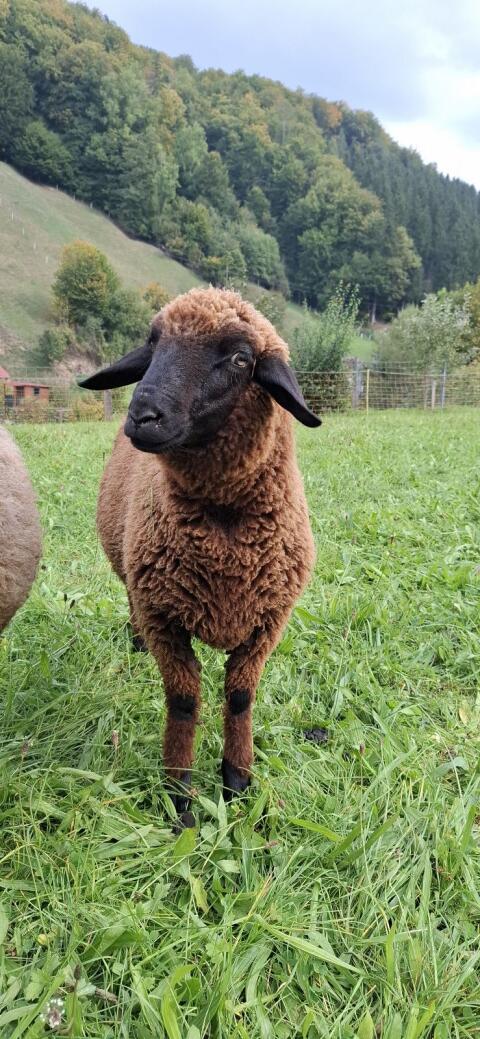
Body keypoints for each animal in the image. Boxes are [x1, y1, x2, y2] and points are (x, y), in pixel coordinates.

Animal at [80, 287, 321, 823]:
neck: (226, 535)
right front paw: (179, 796)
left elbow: (240, 696)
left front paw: (237, 782)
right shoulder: (164, 618)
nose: (142, 416)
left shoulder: (267, 623)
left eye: (240, 358)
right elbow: (185, 700)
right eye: (153, 344)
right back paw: (134, 642)